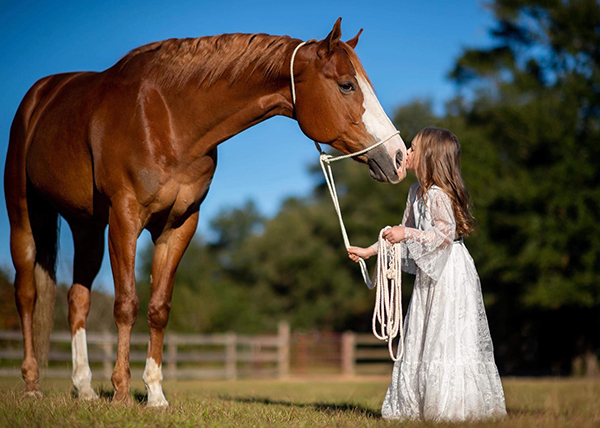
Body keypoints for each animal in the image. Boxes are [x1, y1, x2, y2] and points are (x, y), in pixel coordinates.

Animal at [3, 18, 408, 406]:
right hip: (25, 218)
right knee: (27, 295)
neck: (167, 118)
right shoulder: (125, 218)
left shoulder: (179, 224)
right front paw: (120, 393)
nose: (399, 158)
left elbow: (158, 308)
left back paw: (84, 388)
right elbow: (126, 304)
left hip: (85, 225)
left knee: (77, 300)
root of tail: (40, 96)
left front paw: (155, 395)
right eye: (346, 86)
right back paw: (32, 385)